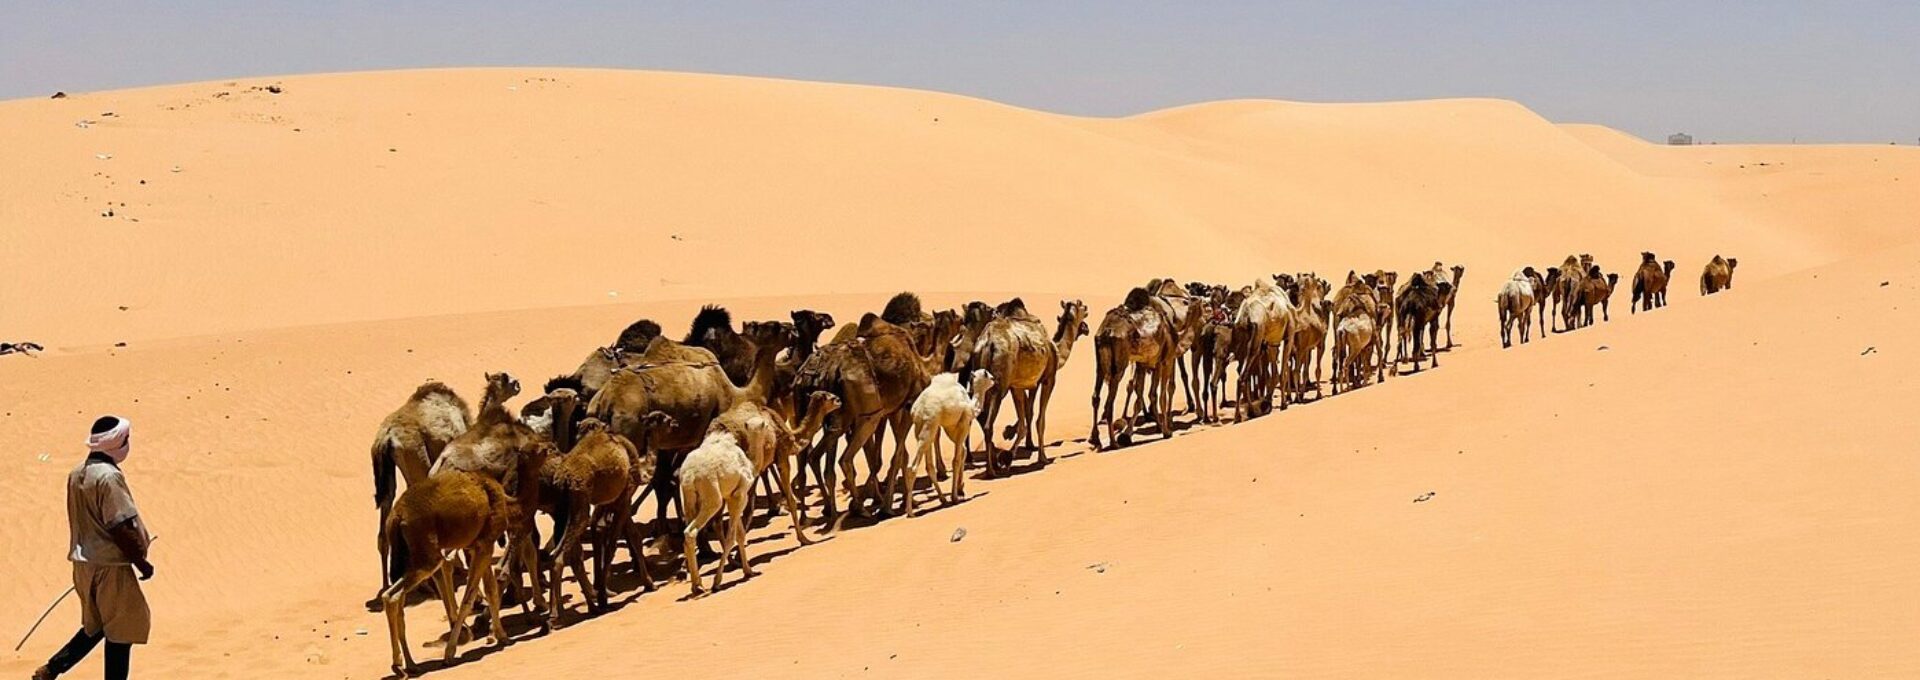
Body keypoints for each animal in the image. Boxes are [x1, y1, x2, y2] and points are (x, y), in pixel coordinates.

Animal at [370, 381, 472, 593]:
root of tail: (387, 437)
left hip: (388, 470)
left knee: (386, 509)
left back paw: (386, 585)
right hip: (416, 457)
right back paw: (428, 585)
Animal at [379, 420, 550, 677]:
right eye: (537, 449)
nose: (550, 446)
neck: (508, 503)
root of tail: (396, 517)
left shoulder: (478, 544)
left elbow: (490, 589)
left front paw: (501, 635)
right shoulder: (485, 543)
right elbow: (470, 597)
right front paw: (450, 654)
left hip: (407, 556)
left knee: (397, 600)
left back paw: (408, 664)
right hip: (425, 556)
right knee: (393, 596)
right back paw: (400, 664)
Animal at [904, 370, 994, 515]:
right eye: (989, 376)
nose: (995, 379)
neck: (971, 405)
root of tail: (916, 410)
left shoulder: (949, 426)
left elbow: (962, 452)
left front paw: (960, 489)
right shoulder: (964, 421)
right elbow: (956, 460)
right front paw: (955, 496)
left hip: (922, 428)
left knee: (929, 466)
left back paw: (942, 499)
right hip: (929, 425)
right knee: (912, 467)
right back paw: (911, 512)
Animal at [969, 298, 1088, 474]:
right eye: (1081, 305)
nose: (1086, 327)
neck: (1056, 350)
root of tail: (988, 342)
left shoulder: (1019, 385)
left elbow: (1025, 418)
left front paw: (1009, 451)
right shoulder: (1047, 379)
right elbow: (1038, 419)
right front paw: (1042, 457)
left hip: (981, 378)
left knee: (979, 416)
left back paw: (992, 464)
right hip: (999, 384)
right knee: (988, 424)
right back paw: (991, 470)